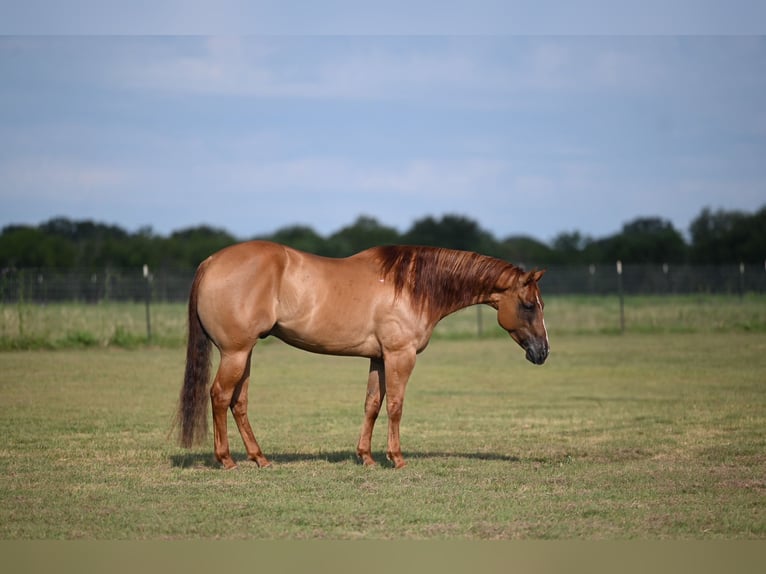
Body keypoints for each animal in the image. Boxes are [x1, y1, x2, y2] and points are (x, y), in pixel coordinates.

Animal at [176, 240, 549, 470]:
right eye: (529, 305)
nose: (543, 352)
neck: (411, 286)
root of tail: (211, 262)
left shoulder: (379, 359)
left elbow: (372, 404)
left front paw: (366, 457)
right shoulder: (400, 356)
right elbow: (396, 405)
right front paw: (396, 457)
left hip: (245, 353)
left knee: (238, 402)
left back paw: (260, 458)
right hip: (235, 353)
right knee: (219, 396)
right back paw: (226, 459)